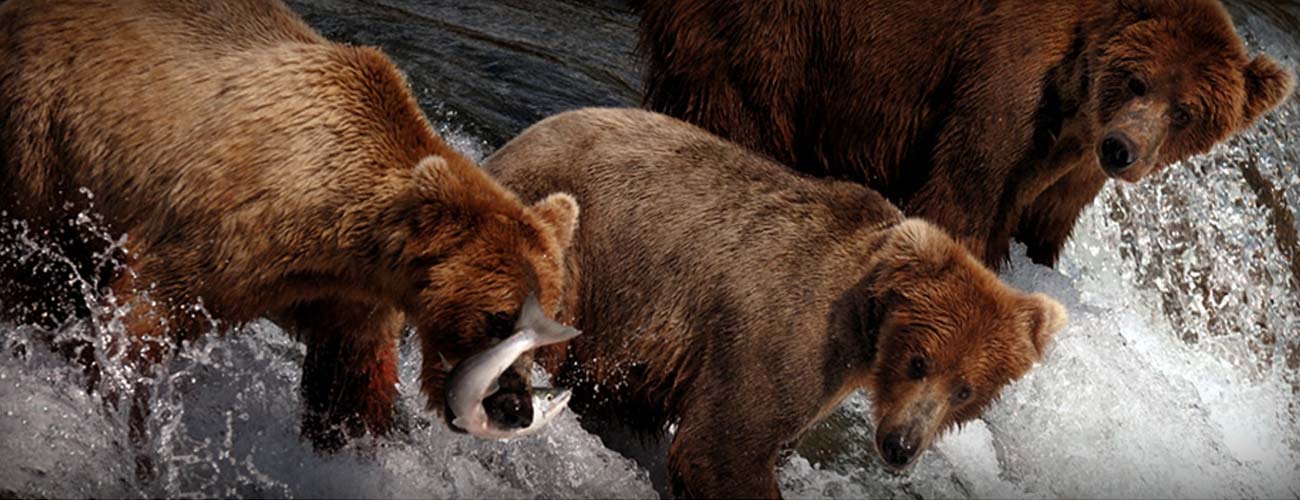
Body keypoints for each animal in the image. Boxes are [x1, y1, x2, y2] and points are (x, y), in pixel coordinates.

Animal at [0, 0, 578, 453]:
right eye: (497, 318)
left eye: (548, 327)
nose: (512, 405)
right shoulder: (214, 231)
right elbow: (141, 318)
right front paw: (113, 402)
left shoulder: (352, 297)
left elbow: (351, 385)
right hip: (43, 141)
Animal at [484, 108, 1068, 498]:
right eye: (919, 361)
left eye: (966, 391)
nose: (901, 446)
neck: (865, 328)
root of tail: (508, 148)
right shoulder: (791, 332)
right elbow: (723, 446)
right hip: (573, 246)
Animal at [633, 0, 1294, 267]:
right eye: (1137, 80)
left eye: (1186, 112)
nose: (1123, 150)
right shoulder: (1009, 71)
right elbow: (964, 191)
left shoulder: (1072, 161)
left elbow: (1044, 224)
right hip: (779, 34)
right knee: (743, 106)